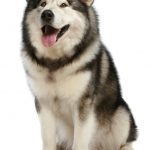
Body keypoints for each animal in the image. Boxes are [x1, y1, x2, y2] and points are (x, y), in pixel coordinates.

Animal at [21, 0, 137, 149]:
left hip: (122, 115)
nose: (46, 14)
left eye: (64, 5)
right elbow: (48, 139)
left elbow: (80, 141)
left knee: (125, 141)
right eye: (42, 4)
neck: (56, 61)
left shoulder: (83, 103)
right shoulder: (44, 103)